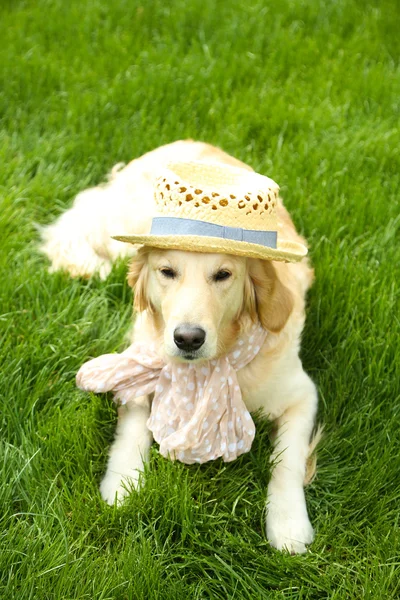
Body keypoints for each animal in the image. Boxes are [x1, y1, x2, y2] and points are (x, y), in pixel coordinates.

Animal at [41, 141, 318, 552]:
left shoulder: (302, 394)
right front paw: (123, 482)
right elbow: (134, 428)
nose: (187, 338)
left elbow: (289, 458)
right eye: (167, 272)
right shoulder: (142, 363)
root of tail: (182, 142)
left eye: (223, 274)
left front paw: (288, 523)